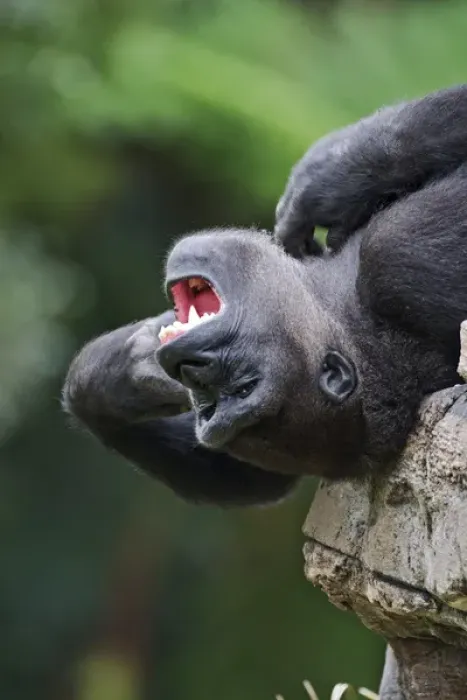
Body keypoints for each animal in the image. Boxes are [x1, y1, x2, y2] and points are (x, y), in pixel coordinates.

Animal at [63, 85, 467, 507]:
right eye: (209, 400)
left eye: (243, 386)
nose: (197, 368)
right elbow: (247, 477)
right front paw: (115, 380)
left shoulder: (399, 255)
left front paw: (335, 174)